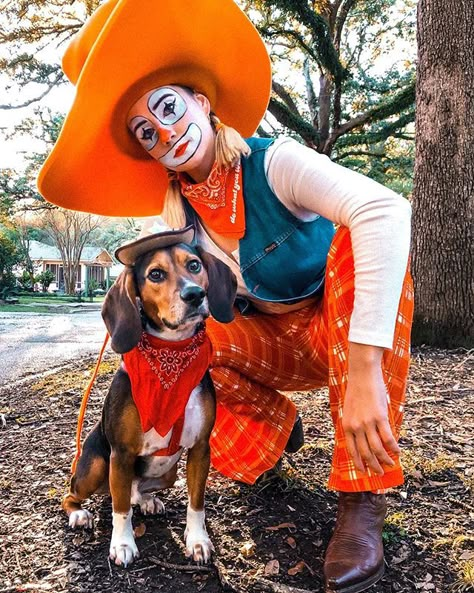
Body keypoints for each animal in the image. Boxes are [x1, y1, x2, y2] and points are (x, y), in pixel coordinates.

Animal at [63, 225, 237, 564]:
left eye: (194, 265)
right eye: (155, 274)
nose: (195, 294)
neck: (171, 353)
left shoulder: (200, 449)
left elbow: (197, 503)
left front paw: (197, 540)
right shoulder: (121, 454)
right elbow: (119, 509)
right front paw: (122, 544)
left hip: (168, 473)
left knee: (134, 491)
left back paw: (146, 499)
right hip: (96, 465)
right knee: (75, 494)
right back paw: (79, 514)